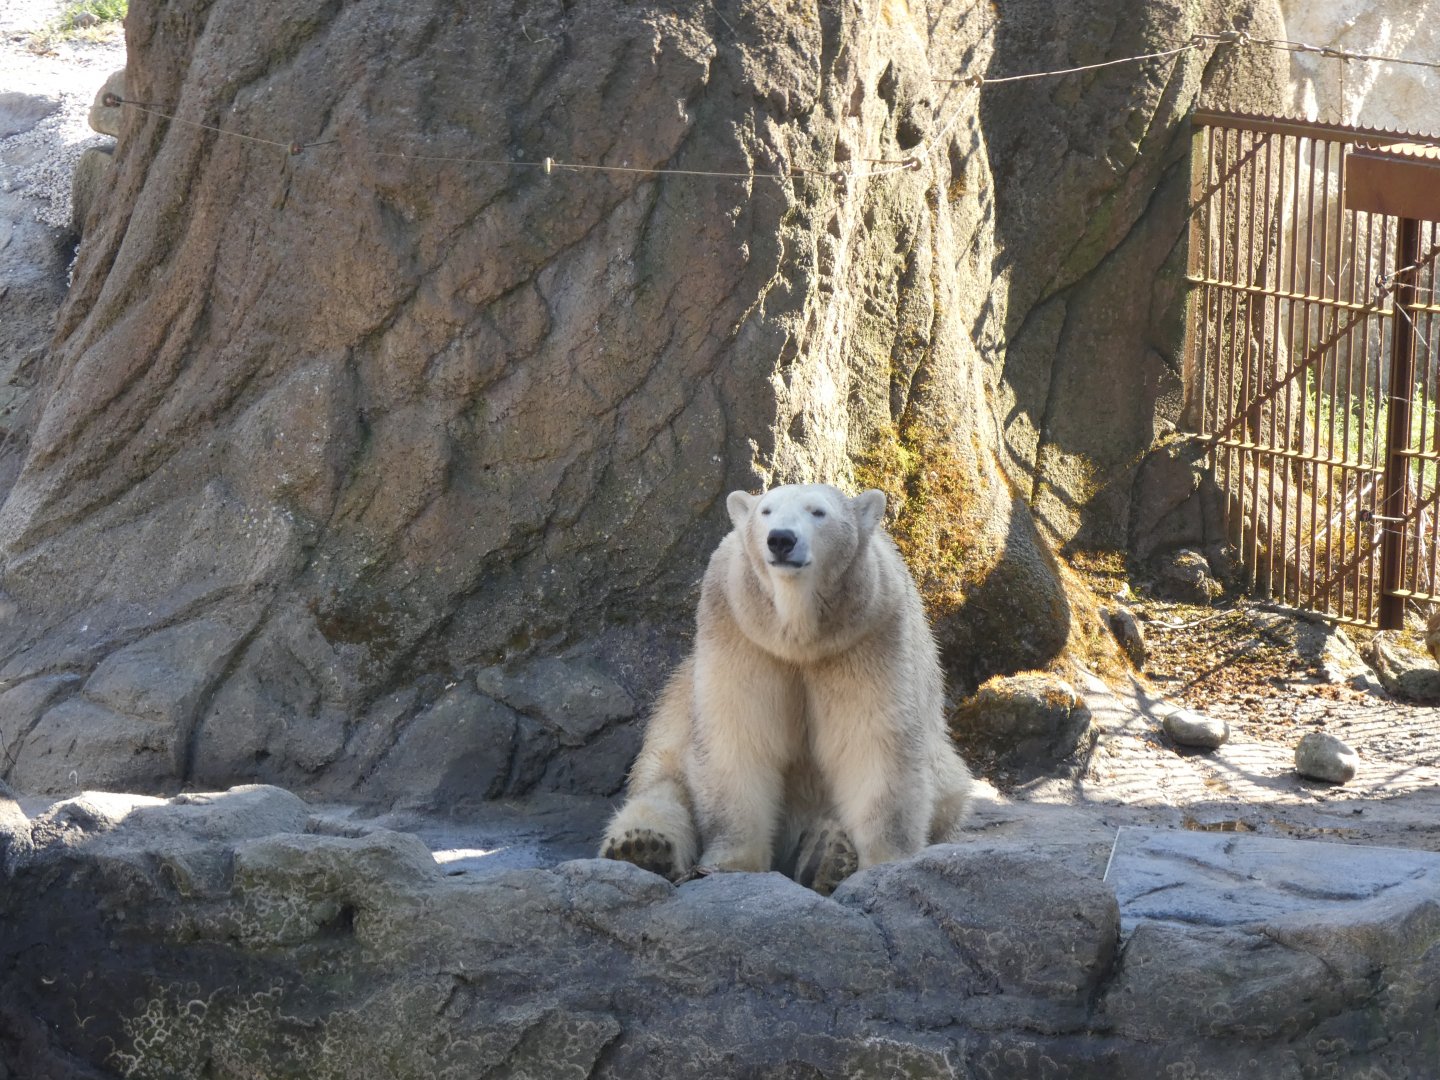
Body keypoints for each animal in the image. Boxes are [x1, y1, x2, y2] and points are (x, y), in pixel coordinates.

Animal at [600, 482, 973, 895]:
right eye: (766, 511)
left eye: (818, 512)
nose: (781, 539)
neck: (798, 635)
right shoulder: (740, 631)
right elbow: (739, 735)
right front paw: (733, 863)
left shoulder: (869, 636)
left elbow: (873, 743)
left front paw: (885, 862)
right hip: (672, 719)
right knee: (662, 788)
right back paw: (643, 847)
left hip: (945, 775)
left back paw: (826, 853)